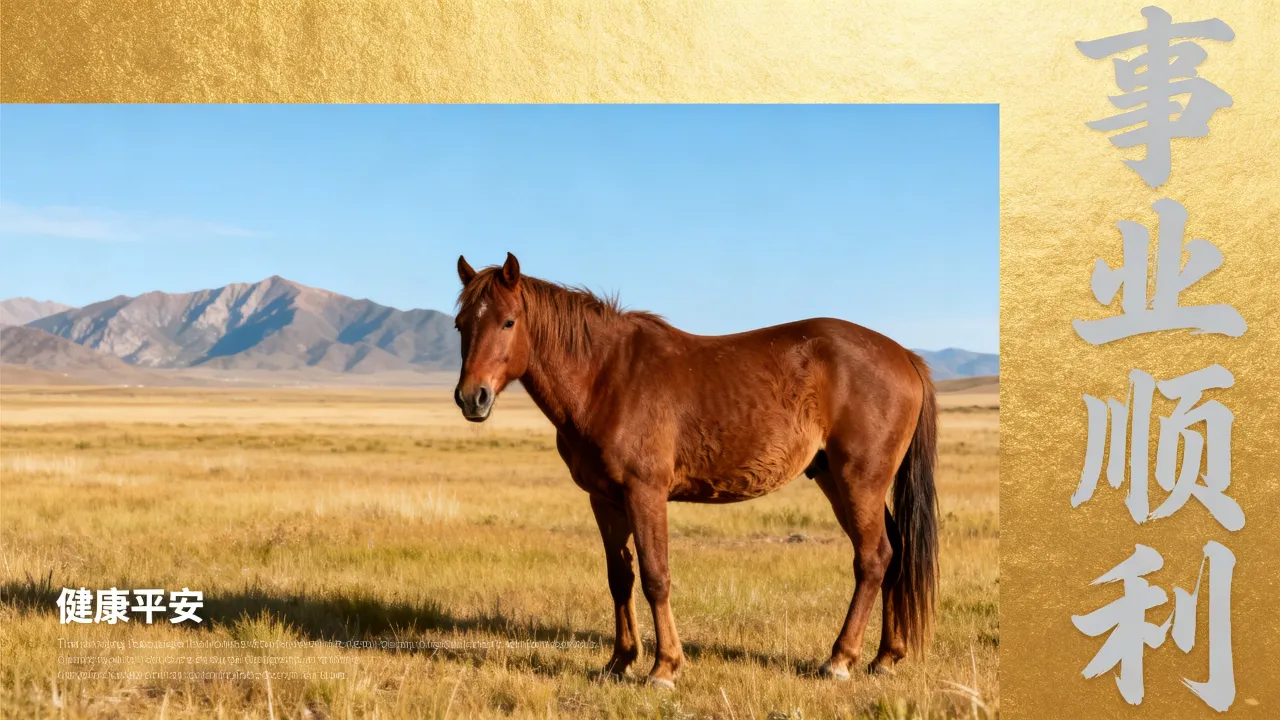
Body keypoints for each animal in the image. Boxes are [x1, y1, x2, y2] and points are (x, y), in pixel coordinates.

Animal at [452, 253, 938, 689]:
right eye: (461, 325)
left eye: (508, 322)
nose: (471, 398)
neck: (605, 377)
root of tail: (903, 355)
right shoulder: (605, 499)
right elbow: (620, 579)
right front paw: (619, 661)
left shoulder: (645, 493)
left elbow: (656, 577)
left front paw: (664, 668)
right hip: (836, 480)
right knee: (894, 552)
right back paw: (884, 658)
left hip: (860, 481)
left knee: (874, 558)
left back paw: (840, 659)